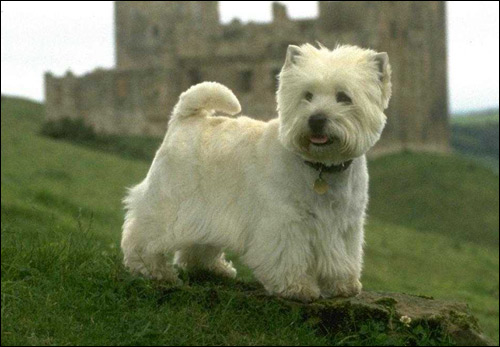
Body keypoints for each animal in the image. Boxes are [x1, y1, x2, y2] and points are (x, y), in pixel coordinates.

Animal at [121, 44, 390, 304]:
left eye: (344, 97)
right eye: (307, 95)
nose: (316, 119)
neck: (321, 166)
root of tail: (185, 119)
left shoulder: (344, 224)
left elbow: (342, 257)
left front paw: (343, 284)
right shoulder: (285, 221)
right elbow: (289, 256)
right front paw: (297, 287)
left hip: (206, 214)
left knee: (197, 246)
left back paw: (214, 269)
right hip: (170, 203)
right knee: (142, 236)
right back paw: (154, 270)